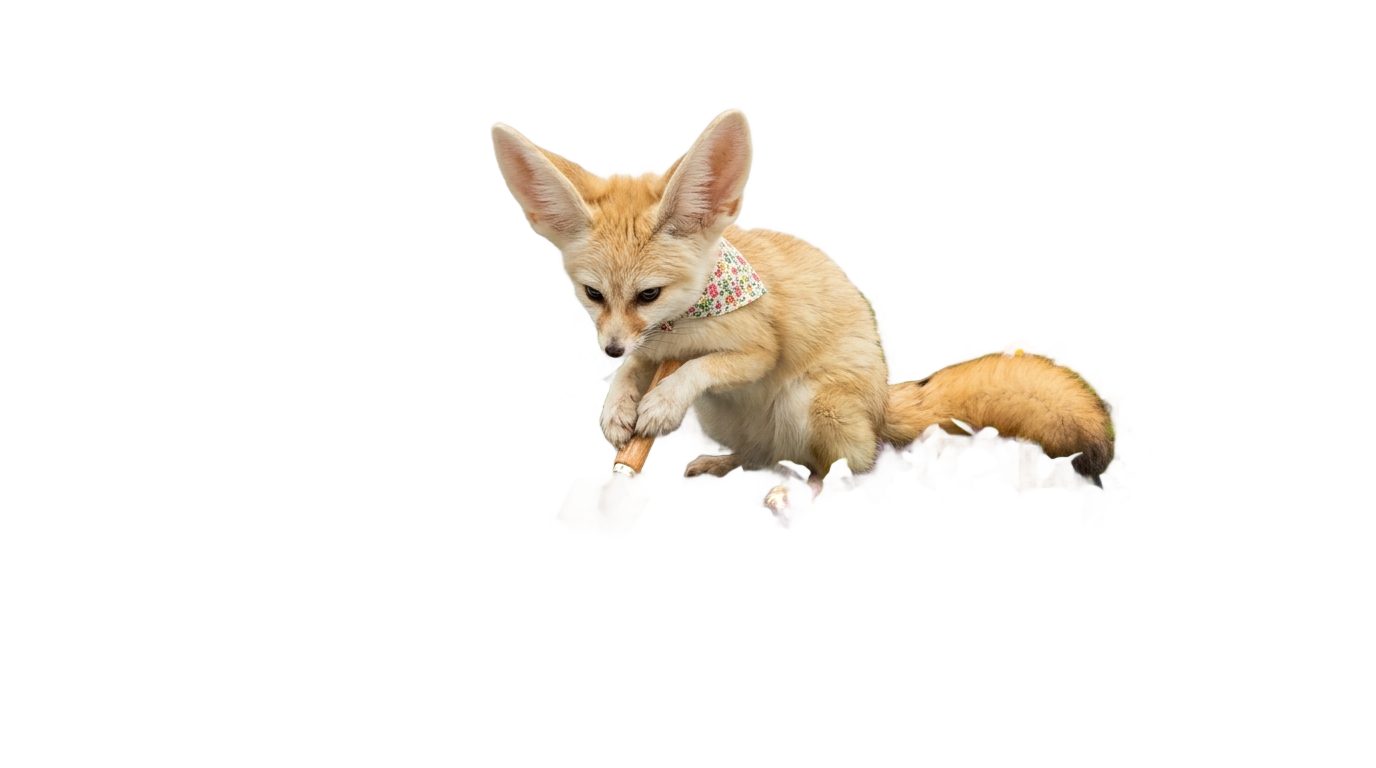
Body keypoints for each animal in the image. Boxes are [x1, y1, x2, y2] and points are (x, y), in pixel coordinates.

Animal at [491, 110, 1112, 517]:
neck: (688, 318)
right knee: (764, 457)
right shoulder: (648, 345)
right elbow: (634, 371)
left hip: (807, 401)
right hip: (727, 419)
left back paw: (804, 496)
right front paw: (619, 406)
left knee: (851, 468)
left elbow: (699, 367)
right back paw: (727, 466)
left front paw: (661, 401)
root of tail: (884, 401)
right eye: (592, 295)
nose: (609, 348)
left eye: (649, 295)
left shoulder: (756, 352)